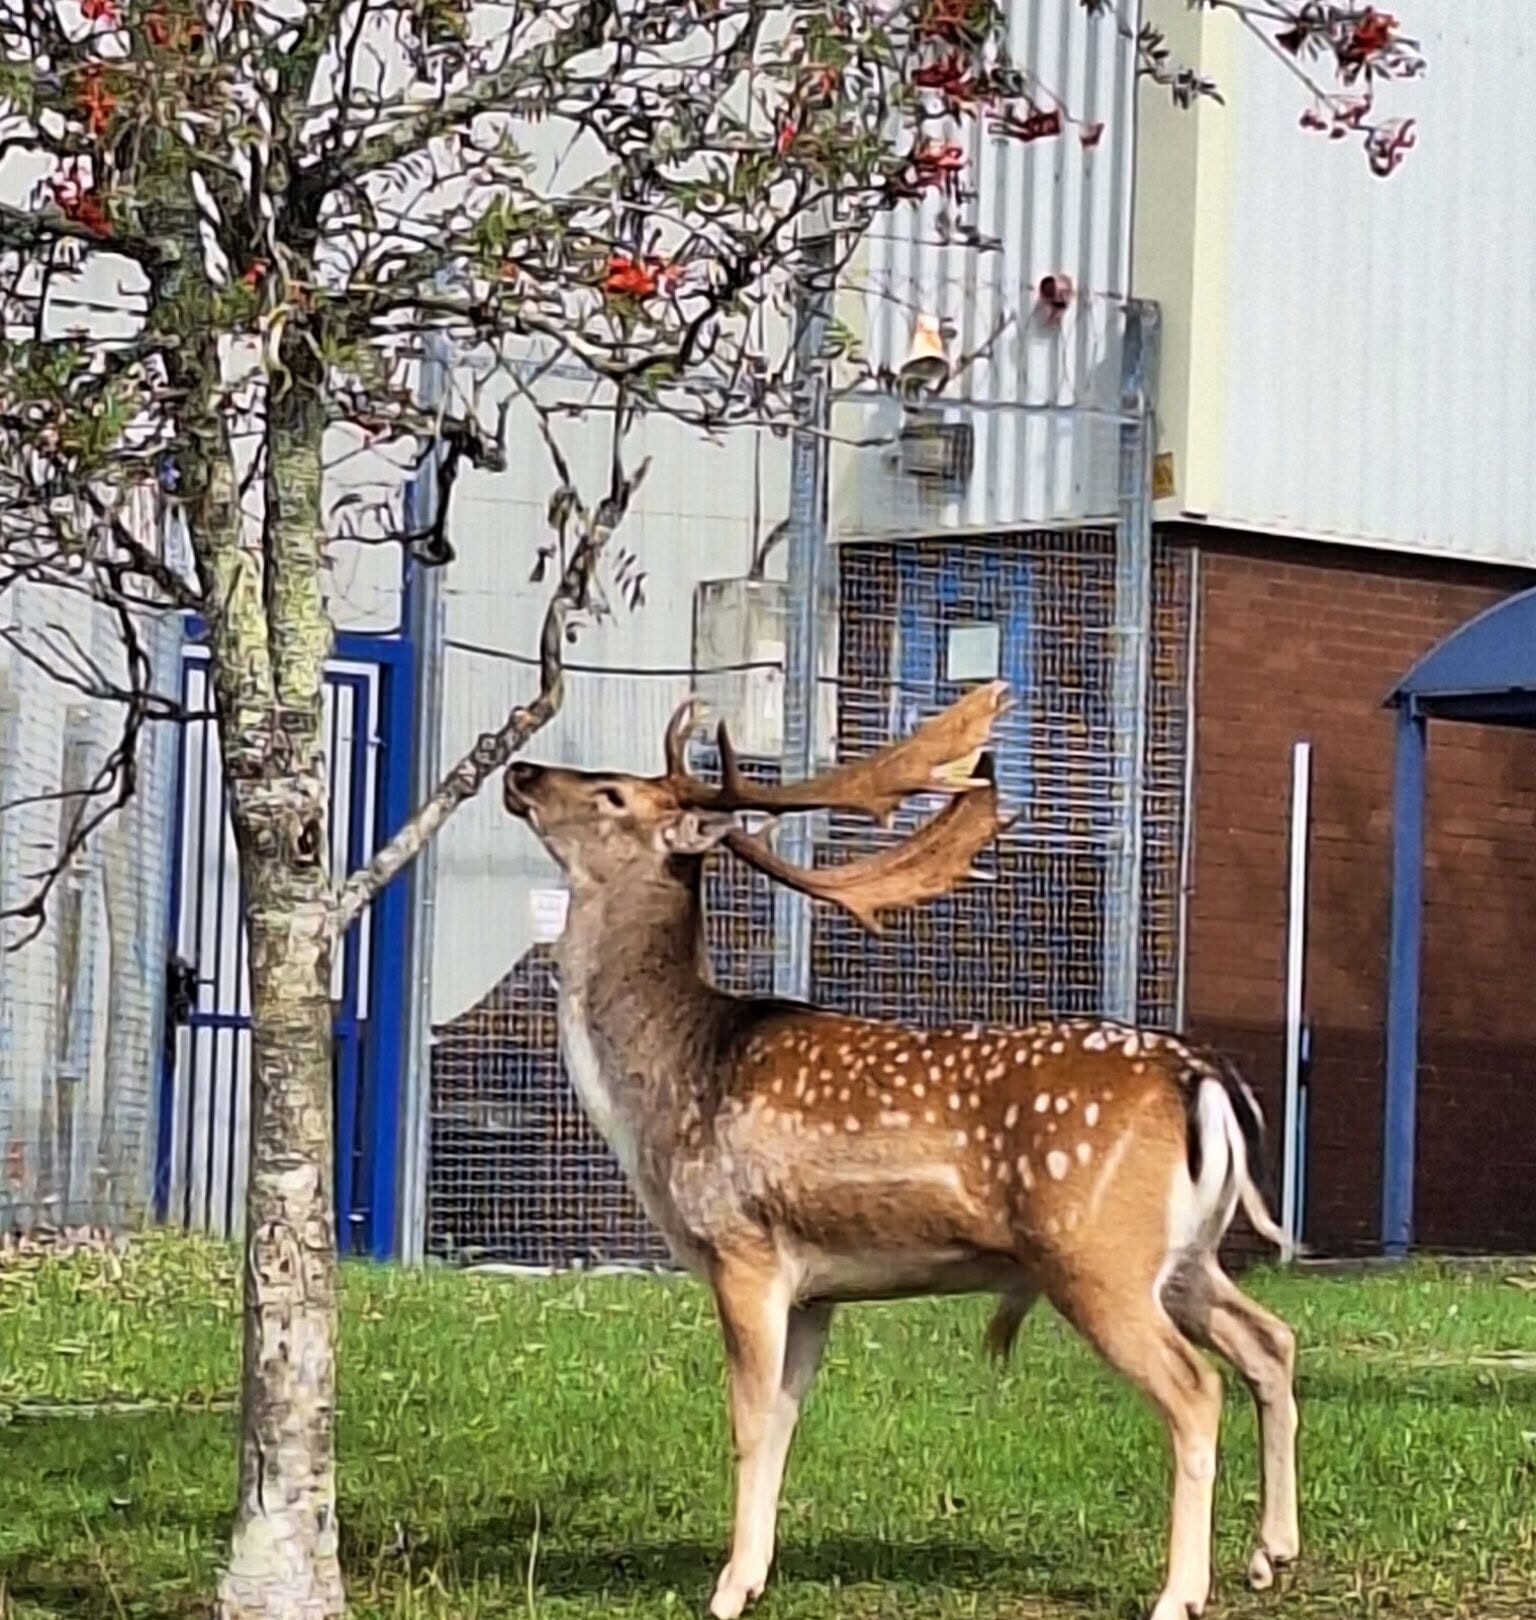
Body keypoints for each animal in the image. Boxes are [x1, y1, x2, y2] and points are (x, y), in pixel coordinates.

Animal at [501, 680, 1299, 1620]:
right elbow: (784, 1422)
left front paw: (726, 1592)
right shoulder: (815, 1288)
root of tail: (1198, 1076)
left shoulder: (742, 1250)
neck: (676, 1077)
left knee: (1195, 1388)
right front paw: (755, 1573)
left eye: (614, 794)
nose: (521, 771)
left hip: (1094, 1253)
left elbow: (745, 1422)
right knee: (1270, 1341)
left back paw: (1180, 1592)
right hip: (1184, 1257)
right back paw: (1272, 1553)